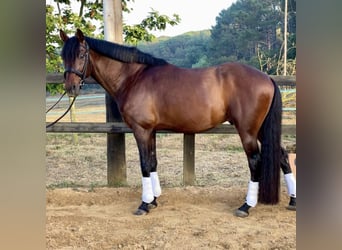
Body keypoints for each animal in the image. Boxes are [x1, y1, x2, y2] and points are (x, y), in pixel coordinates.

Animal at [58, 28, 294, 217]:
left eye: (81, 54)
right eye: (63, 56)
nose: (70, 87)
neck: (134, 78)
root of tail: (267, 78)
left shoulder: (141, 130)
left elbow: (144, 164)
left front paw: (144, 204)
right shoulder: (151, 131)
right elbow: (152, 162)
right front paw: (153, 200)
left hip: (248, 131)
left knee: (255, 162)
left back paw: (246, 206)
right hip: (260, 129)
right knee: (282, 155)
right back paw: (292, 200)